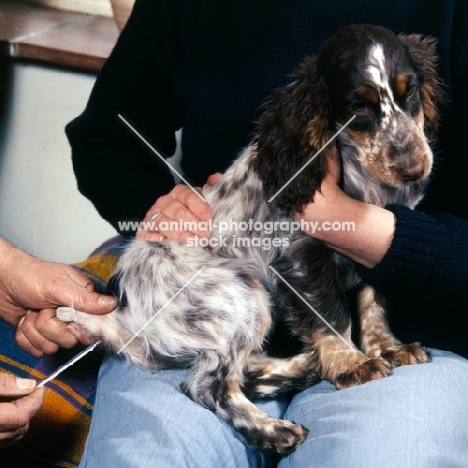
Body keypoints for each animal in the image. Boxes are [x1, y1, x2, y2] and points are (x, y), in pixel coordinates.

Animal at [58, 23, 442, 452]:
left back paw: (304, 367)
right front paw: (351, 363)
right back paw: (274, 429)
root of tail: (122, 312)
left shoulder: (378, 247)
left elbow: (374, 304)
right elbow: (332, 316)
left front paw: (387, 348)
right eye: (359, 107)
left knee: (242, 371)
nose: (414, 168)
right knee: (208, 385)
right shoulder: (300, 255)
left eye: (409, 92)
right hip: (242, 293)